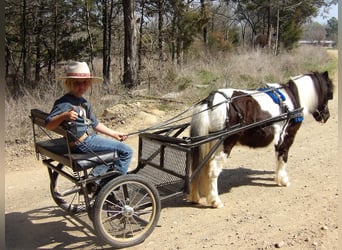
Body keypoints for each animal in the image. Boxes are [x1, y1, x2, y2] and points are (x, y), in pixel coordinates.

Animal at [188, 70, 332, 207]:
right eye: (329, 93)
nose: (326, 116)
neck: (292, 97)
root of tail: (210, 101)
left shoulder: (278, 140)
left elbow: (278, 158)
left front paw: (278, 178)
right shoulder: (287, 137)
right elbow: (283, 157)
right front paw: (284, 180)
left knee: (199, 167)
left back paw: (195, 197)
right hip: (224, 145)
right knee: (213, 170)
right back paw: (215, 201)